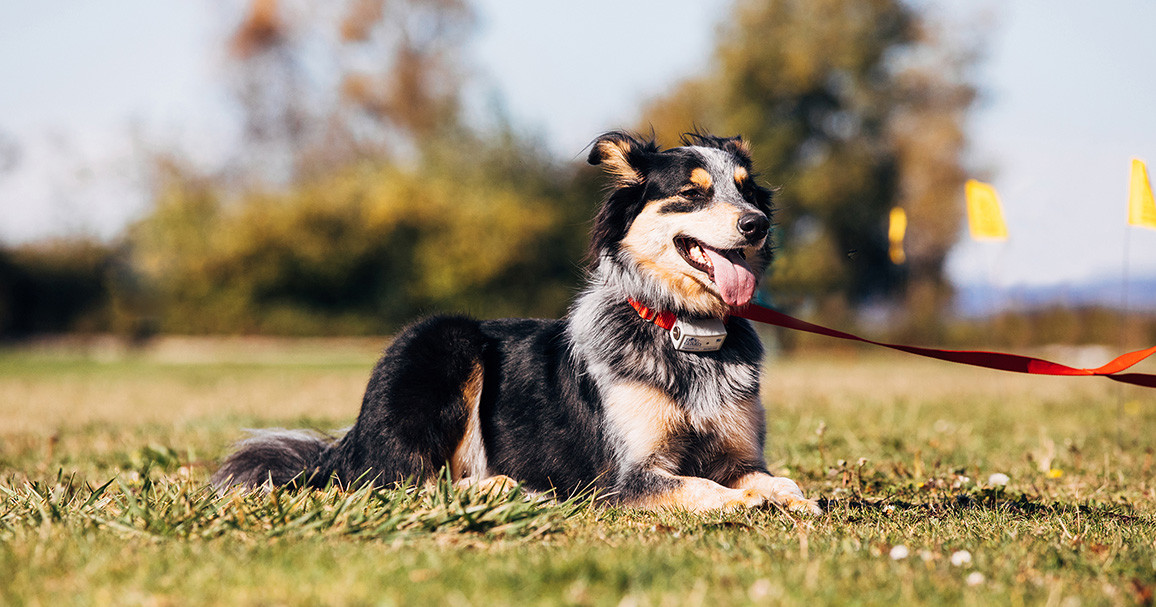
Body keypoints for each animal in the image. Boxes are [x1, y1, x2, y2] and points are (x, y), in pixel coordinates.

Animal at [210, 130, 823, 513]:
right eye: (692, 193)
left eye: (746, 187)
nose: (758, 224)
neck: (684, 329)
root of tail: (350, 443)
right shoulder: (624, 475)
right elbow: (700, 487)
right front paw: (744, 501)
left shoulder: (739, 453)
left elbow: (773, 477)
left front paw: (796, 496)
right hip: (444, 340)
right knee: (402, 484)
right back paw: (508, 488)